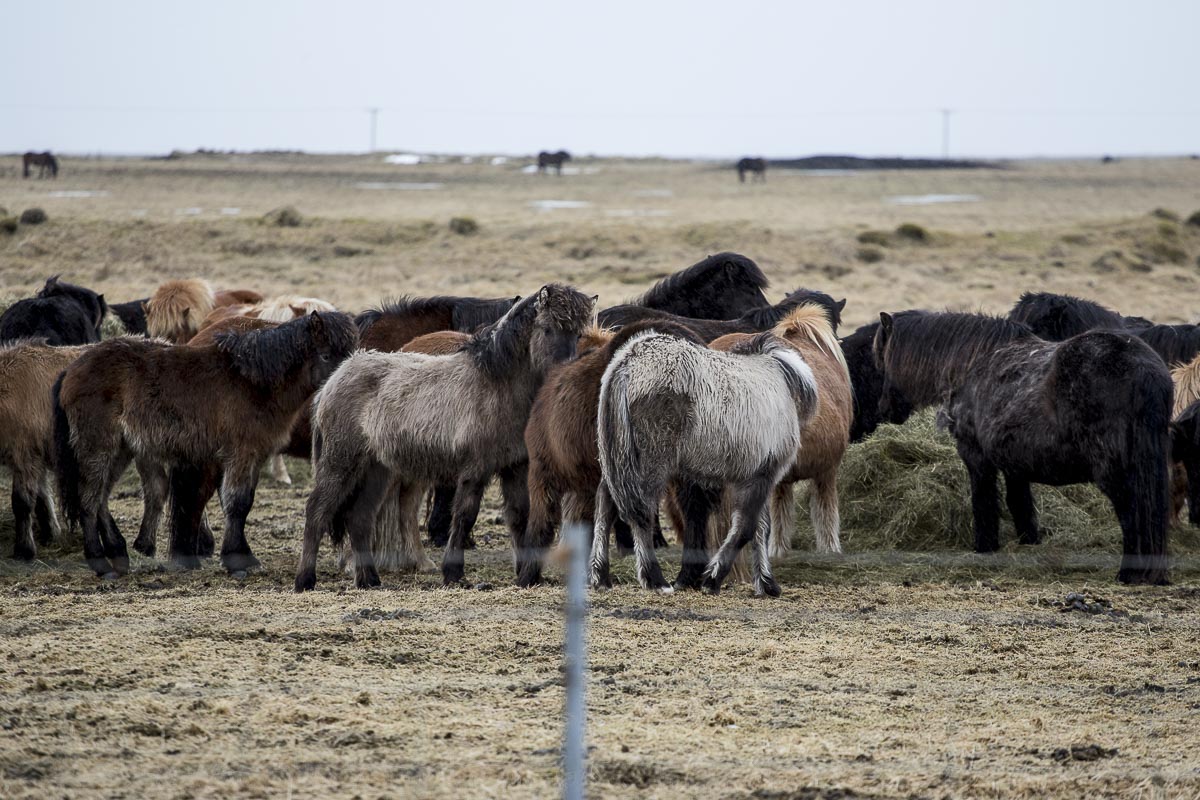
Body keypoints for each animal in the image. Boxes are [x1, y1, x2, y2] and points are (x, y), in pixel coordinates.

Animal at [53, 312, 358, 577]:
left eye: (352, 354)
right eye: (326, 355)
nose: (343, 389)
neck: (253, 381)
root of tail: (71, 370)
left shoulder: (255, 455)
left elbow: (245, 502)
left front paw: (243, 556)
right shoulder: (240, 453)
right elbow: (236, 503)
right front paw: (236, 561)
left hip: (121, 450)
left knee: (101, 498)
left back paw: (119, 553)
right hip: (98, 447)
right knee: (89, 500)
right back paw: (101, 563)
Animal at [296, 285, 595, 591]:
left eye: (578, 333)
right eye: (547, 329)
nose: (564, 370)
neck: (496, 385)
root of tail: (334, 380)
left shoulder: (515, 468)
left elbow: (519, 517)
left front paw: (524, 573)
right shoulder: (475, 469)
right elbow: (464, 516)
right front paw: (453, 573)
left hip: (377, 470)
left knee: (359, 518)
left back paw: (369, 580)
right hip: (341, 462)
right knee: (316, 511)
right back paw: (305, 580)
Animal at [592, 330, 819, 596]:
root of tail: (627, 364)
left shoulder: (753, 477)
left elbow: (760, 529)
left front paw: (766, 583)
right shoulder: (762, 476)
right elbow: (746, 529)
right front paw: (713, 579)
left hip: (617, 460)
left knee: (606, 506)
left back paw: (601, 576)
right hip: (650, 463)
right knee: (641, 512)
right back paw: (655, 580)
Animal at [876, 311, 1172, 584]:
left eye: (881, 359)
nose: (884, 410)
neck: (973, 364)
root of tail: (1142, 368)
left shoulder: (976, 457)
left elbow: (984, 503)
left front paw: (984, 548)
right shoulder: (1014, 464)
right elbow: (1020, 505)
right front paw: (1028, 543)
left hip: (1115, 473)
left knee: (1131, 513)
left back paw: (1129, 574)